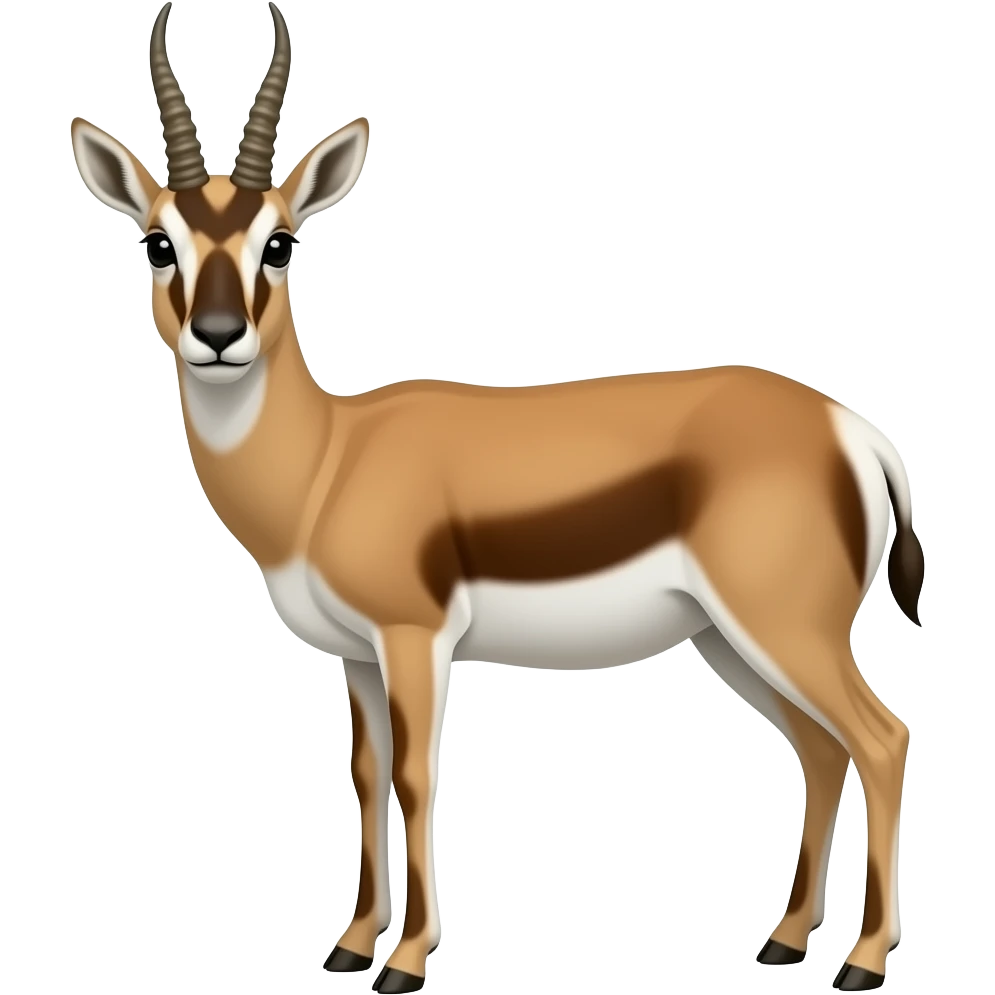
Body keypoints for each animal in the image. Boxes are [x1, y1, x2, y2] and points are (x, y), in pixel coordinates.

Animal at [69, 4, 920, 992]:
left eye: (279, 242)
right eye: (156, 241)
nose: (216, 335)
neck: (328, 461)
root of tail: (849, 428)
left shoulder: (413, 636)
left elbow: (415, 775)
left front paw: (405, 960)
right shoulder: (355, 655)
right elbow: (365, 774)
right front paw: (350, 943)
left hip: (784, 627)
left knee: (881, 739)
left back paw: (861, 960)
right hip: (729, 636)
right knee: (821, 749)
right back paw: (784, 940)